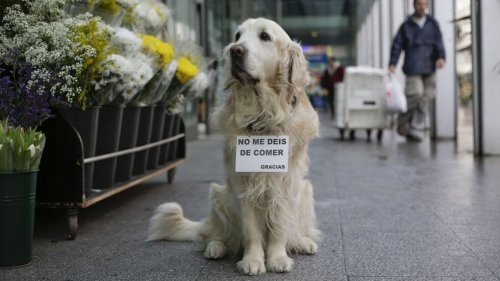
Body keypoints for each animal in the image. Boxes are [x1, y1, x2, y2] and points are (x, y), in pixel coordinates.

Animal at [148, 17, 320, 274]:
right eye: (237, 35)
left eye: (265, 36)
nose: (234, 51)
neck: (262, 116)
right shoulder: (242, 185)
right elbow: (251, 231)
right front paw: (253, 261)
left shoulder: (285, 183)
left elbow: (279, 225)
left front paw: (278, 258)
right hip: (218, 195)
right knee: (214, 236)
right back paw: (215, 247)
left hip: (305, 191)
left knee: (295, 229)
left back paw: (303, 242)